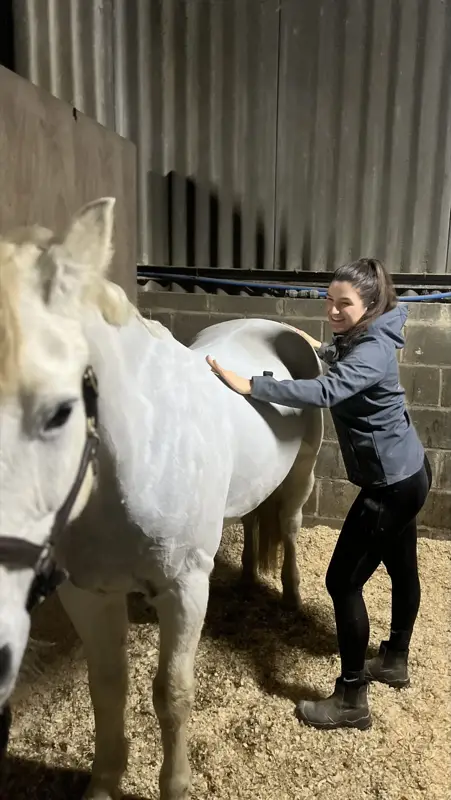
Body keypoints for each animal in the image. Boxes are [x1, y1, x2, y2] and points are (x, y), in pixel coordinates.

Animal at [0, 198, 323, 800]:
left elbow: (172, 694)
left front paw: (175, 784)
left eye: (60, 411)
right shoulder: (87, 591)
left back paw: (289, 594)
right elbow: (107, 687)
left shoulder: (185, 587)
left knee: (287, 527)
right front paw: (104, 783)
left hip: (302, 477)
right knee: (252, 522)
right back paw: (249, 576)